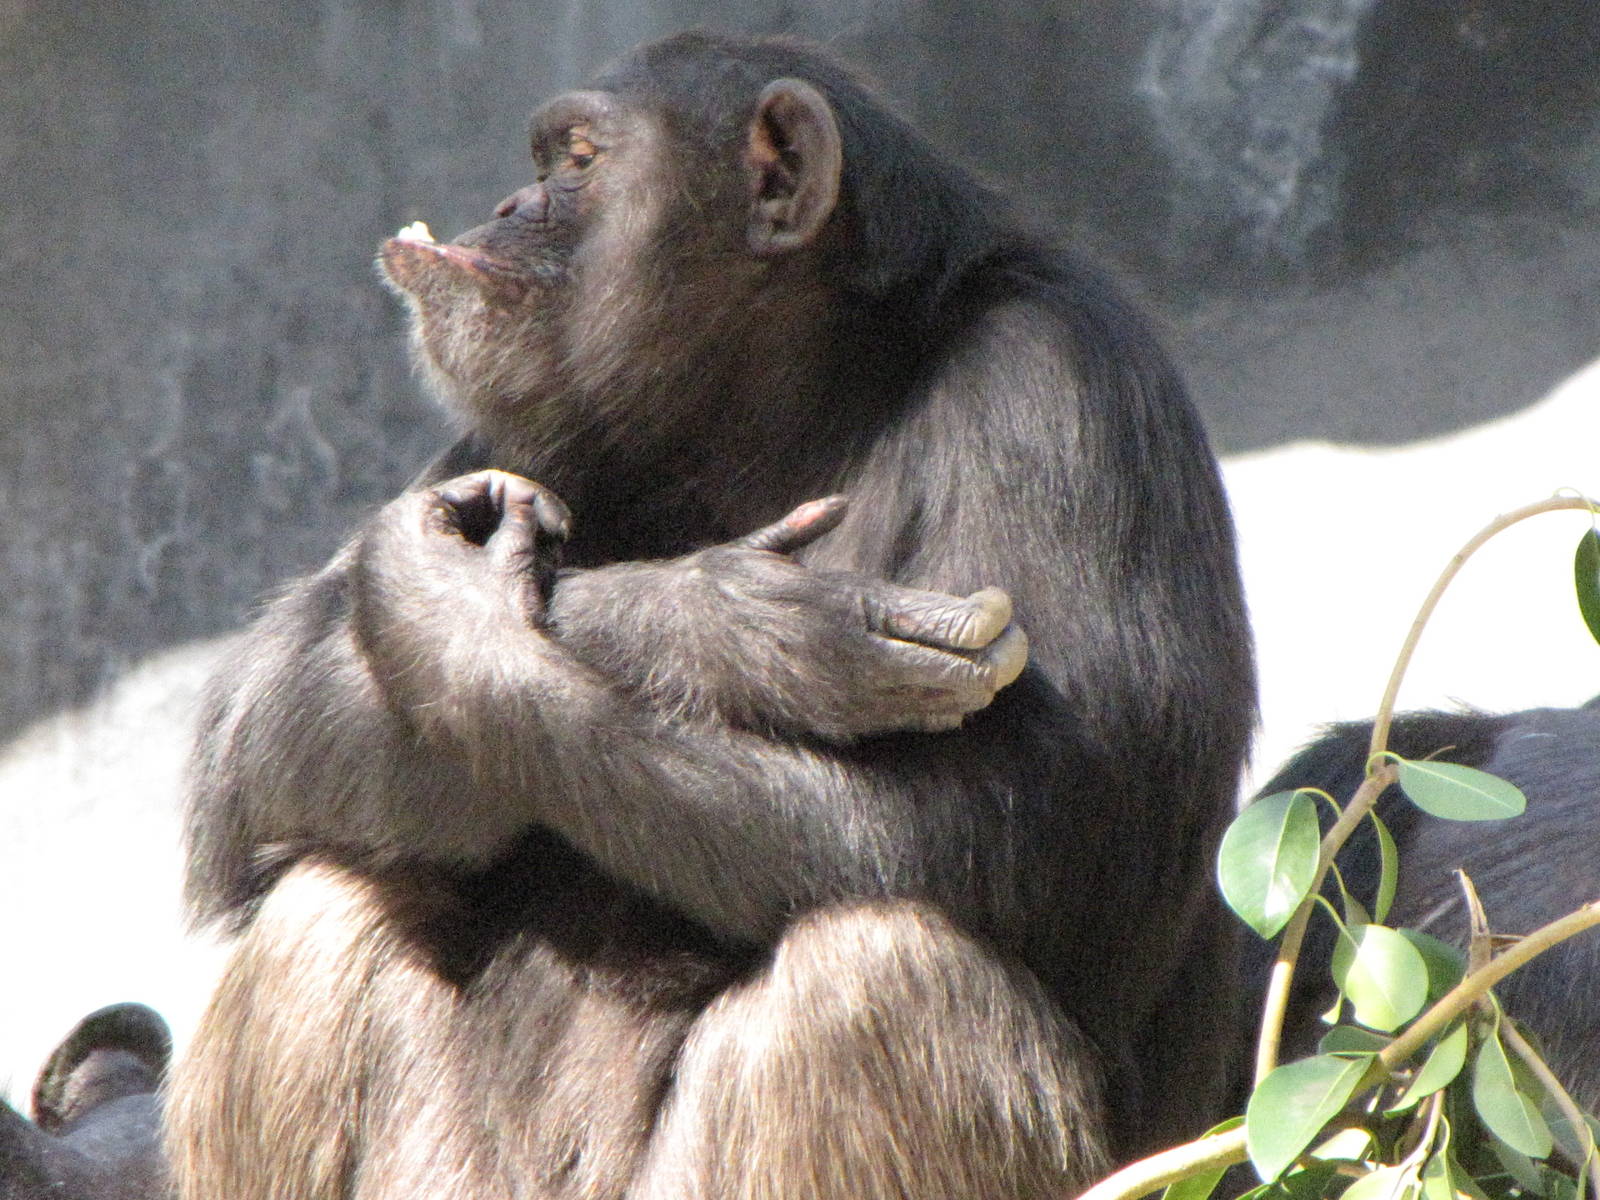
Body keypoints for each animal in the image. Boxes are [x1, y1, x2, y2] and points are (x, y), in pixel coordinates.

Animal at [165, 31, 1256, 1200]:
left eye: (578, 160)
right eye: (543, 160)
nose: (508, 203)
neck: (787, 397)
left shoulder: (1061, 390)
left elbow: (1016, 824)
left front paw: (465, 615)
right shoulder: (503, 438)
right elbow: (262, 715)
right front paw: (729, 622)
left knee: (874, 971)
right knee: (325, 901)